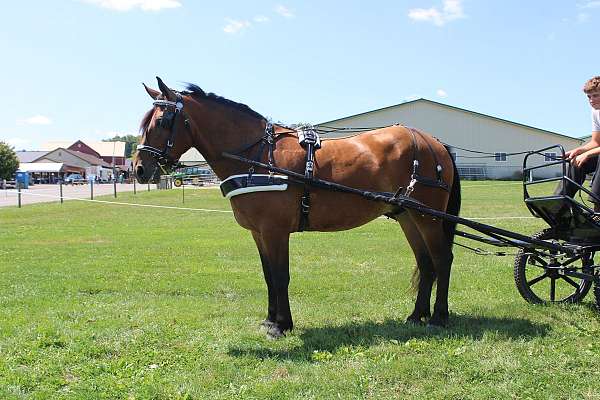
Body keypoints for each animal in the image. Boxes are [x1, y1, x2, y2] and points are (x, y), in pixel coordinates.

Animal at [136, 77, 462, 338]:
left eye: (162, 122)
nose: (140, 169)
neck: (259, 156)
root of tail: (433, 143)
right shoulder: (259, 233)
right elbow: (268, 276)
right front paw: (270, 320)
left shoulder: (275, 231)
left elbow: (281, 276)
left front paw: (282, 325)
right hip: (408, 216)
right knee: (426, 262)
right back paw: (416, 315)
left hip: (427, 217)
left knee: (442, 259)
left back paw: (438, 317)